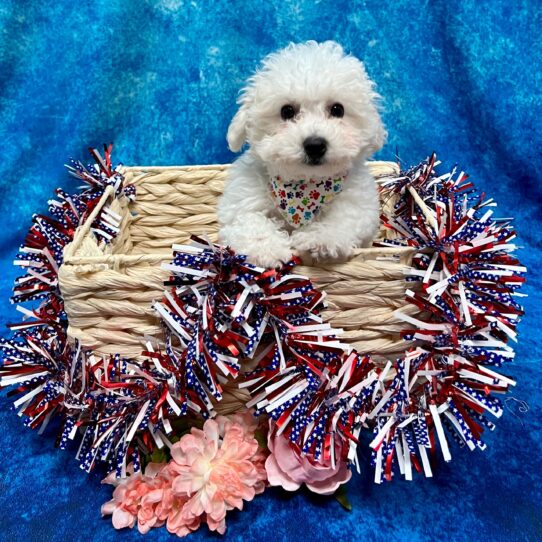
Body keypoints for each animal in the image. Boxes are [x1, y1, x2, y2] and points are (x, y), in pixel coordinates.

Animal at [217, 39, 386, 268]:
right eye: (287, 111)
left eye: (337, 109)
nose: (315, 145)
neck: (304, 187)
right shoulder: (241, 203)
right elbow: (250, 221)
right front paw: (266, 249)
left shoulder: (359, 204)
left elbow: (344, 219)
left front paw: (320, 239)